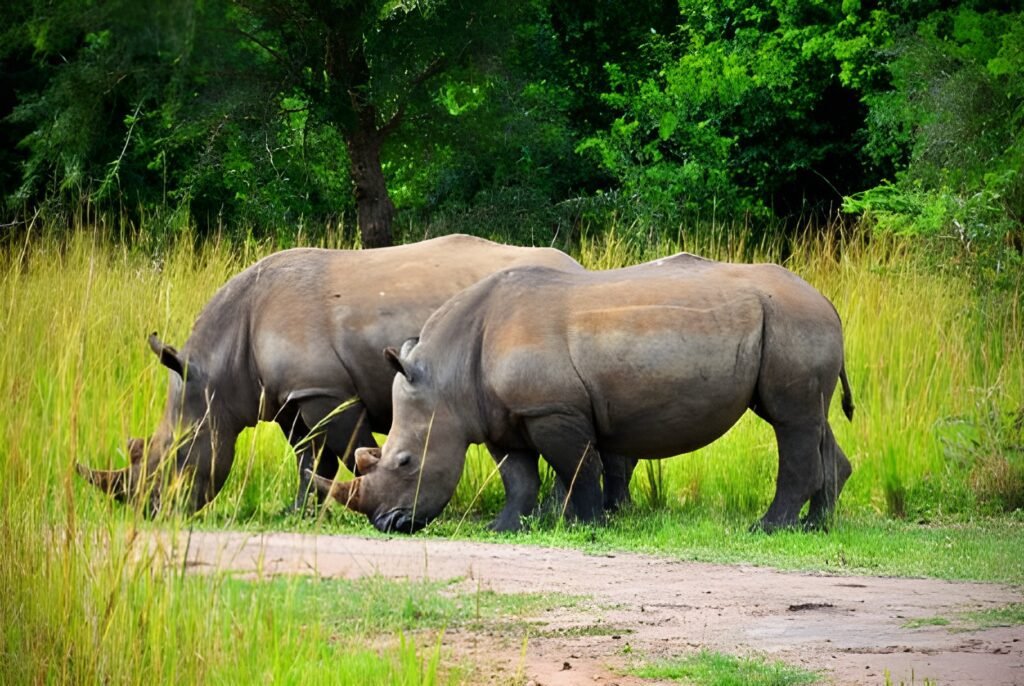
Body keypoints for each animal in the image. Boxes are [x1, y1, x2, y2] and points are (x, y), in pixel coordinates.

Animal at [77, 234, 582, 515]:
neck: (217, 377)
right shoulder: (289, 397)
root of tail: (577, 266)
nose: (150, 511)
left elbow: (347, 448)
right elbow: (308, 458)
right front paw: (297, 513)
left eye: (176, 452)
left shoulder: (326, 390)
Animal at [312, 253, 854, 533]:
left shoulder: (553, 409)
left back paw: (769, 528)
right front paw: (504, 528)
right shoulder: (502, 416)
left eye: (405, 462)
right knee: (811, 419)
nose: (386, 523)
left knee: (789, 421)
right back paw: (815, 527)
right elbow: (519, 476)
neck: (447, 376)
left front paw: (586, 524)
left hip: (792, 320)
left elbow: (576, 468)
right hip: (792, 321)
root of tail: (827, 300)